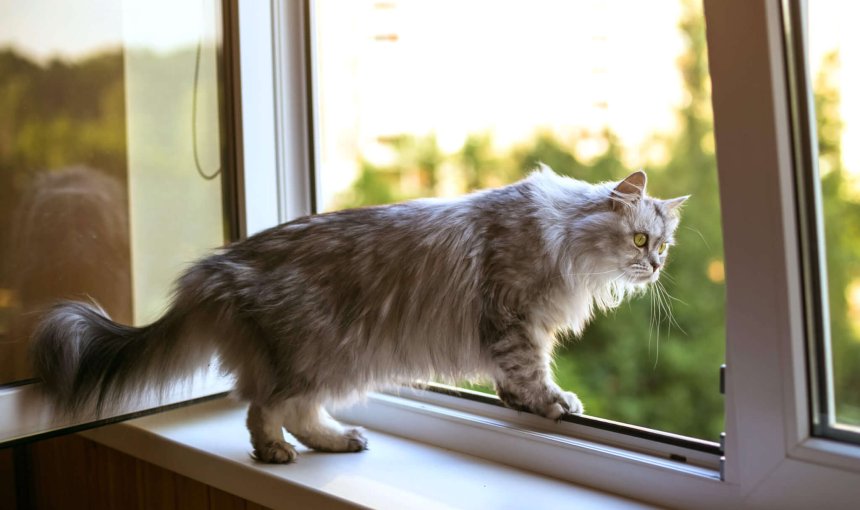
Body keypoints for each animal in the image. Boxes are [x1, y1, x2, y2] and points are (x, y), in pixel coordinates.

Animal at [31, 166, 684, 462]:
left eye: (663, 244)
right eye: (638, 240)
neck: (562, 239)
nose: (655, 267)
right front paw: (554, 403)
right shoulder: (513, 318)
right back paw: (277, 452)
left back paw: (338, 440)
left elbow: (512, 380)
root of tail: (216, 269)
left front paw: (519, 403)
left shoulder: (516, 329)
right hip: (318, 353)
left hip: (331, 361)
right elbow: (533, 373)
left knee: (296, 412)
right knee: (263, 409)